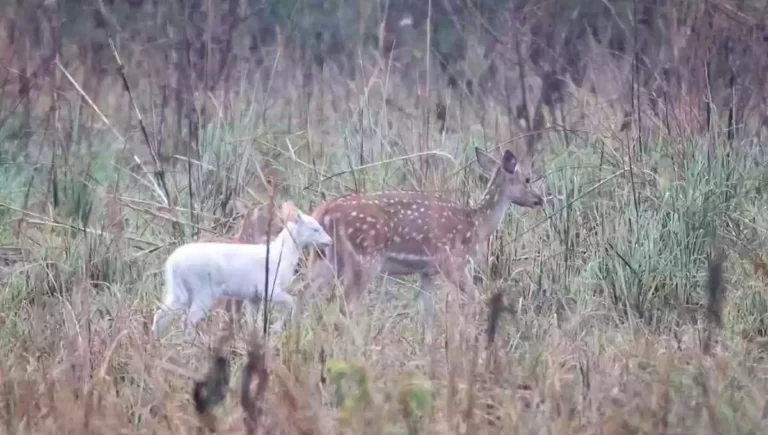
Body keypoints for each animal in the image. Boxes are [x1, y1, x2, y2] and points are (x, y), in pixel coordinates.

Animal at [152, 201, 332, 338]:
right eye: (315, 228)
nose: (330, 241)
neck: (282, 256)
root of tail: (172, 263)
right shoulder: (269, 288)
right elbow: (290, 302)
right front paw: (275, 329)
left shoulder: (253, 297)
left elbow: (254, 321)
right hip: (203, 291)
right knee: (189, 319)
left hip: (178, 291)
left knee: (161, 314)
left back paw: (156, 341)